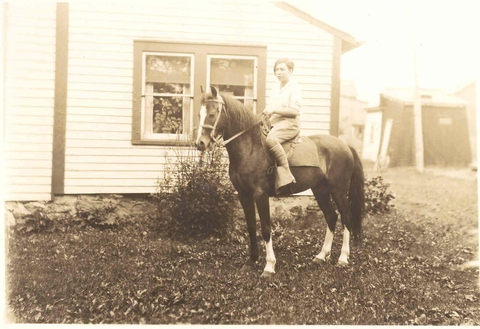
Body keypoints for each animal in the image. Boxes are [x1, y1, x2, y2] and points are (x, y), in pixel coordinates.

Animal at [195, 86, 364, 276]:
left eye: (212, 113)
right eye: (199, 114)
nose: (200, 143)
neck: (250, 147)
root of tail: (345, 145)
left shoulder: (260, 195)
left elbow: (266, 228)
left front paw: (269, 266)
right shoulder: (243, 195)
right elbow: (251, 226)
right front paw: (252, 260)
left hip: (339, 190)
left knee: (346, 218)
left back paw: (343, 258)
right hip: (320, 190)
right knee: (331, 216)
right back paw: (321, 255)